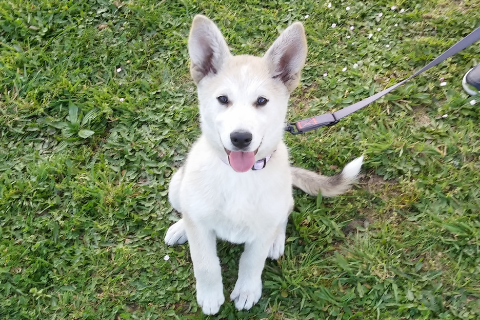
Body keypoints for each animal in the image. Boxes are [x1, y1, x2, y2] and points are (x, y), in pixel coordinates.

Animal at [163, 15, 362, 316]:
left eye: (261, 101)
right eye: (223, 99)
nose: (241, 138)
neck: (239, 178)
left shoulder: (262, 227)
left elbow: (251, 261)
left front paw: (247, 290)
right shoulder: (200, 225)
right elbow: (206, 263)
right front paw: (210, 294)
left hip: (282, 199)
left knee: (285, 214)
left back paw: (276, 241)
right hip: (177, 185)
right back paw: (180, 228)